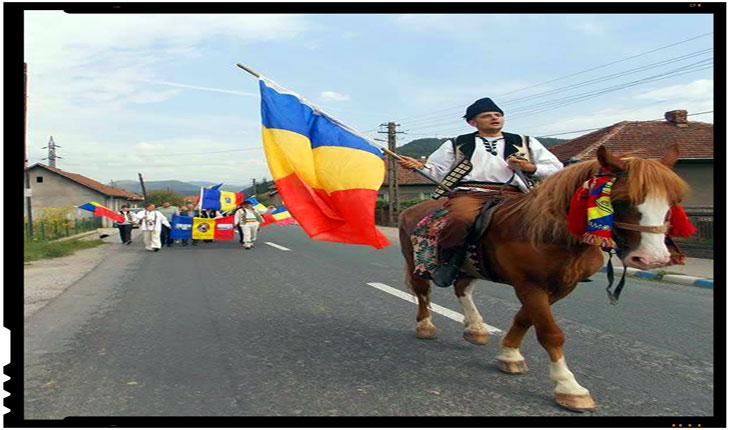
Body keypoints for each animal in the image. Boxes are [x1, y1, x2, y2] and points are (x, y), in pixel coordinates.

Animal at [398, 145, 688, 414]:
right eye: (622, 199)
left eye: (672, 200)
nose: (653, 259)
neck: (549, 232)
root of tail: (411, 210)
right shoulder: (530, 285)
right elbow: (550, 333)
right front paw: (569, 388)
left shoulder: (559, 286)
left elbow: (525, 318)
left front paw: (510, 354)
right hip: (416, 263)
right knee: (423, 292)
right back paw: (426, 326)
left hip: (471, 267)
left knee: (462, 288)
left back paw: (475, 327)